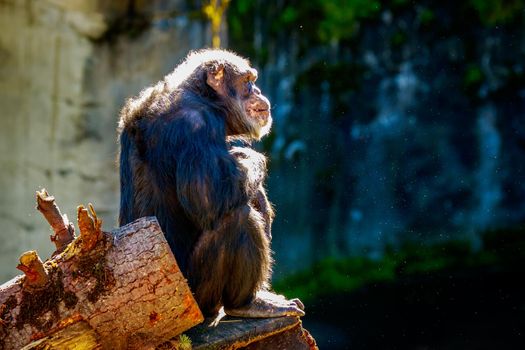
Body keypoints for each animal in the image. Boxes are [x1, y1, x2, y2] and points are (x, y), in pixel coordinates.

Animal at [115, 49, 302, 320]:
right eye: (248, 81)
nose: (257, 90)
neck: (207, 99)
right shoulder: (197, 124)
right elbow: (207, 198)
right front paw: (249, 158)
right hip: (197, 297)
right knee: (237, 217)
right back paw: (246, 303)